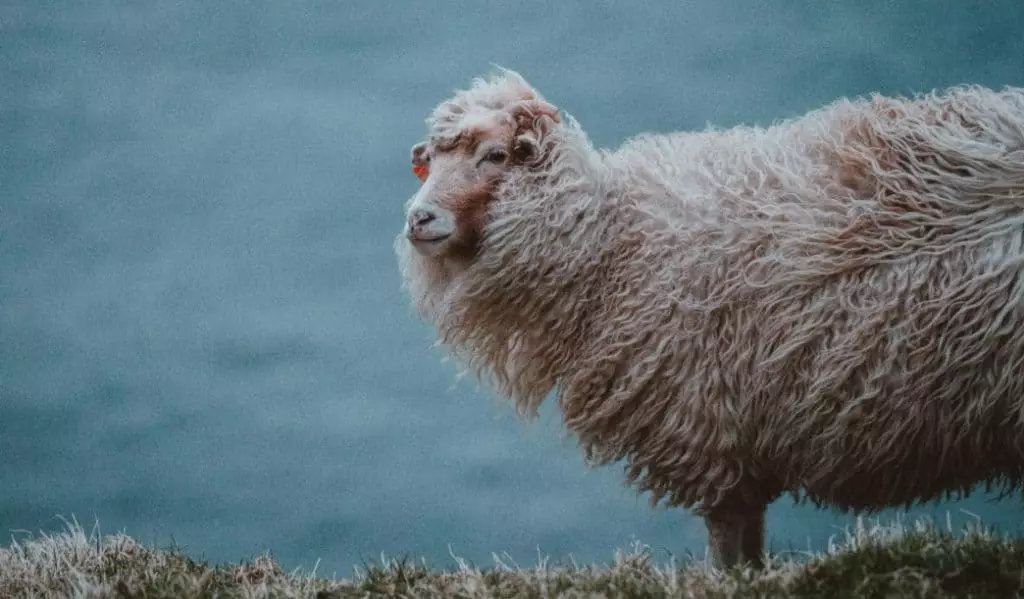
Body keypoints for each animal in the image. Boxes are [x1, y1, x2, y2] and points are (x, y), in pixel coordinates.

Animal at [394, 67, 1024, 569]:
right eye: (433, 162)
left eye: (495, 155)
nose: (418, 219)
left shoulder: (709, 422)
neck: (611, 244)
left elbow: (728, 542)